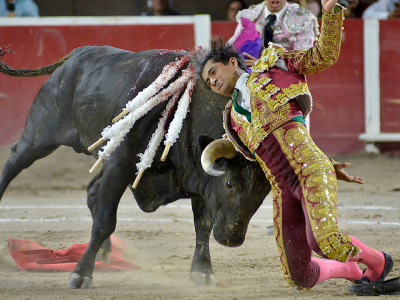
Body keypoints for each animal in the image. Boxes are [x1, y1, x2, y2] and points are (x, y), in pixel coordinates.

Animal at [0, 46, 272, 288]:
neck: (185, 114)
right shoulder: (120, 166)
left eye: (262, 194)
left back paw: (105, 253)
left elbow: (202, 224)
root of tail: (77, 54)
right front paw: (80, 274)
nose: (231, 238)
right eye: (229, 183)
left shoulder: (199, 179)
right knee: (15, 160)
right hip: (42, 135)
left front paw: (202, 271)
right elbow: (105, 221)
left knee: (92, 190)